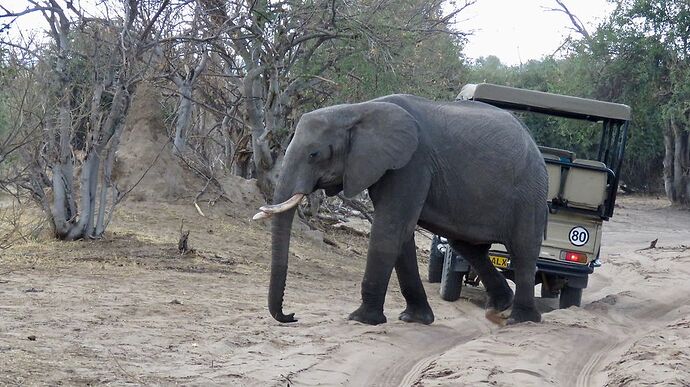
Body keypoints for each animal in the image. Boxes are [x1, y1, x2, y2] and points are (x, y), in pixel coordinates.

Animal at [254, 94, 548, 328]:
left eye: (314, 154)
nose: (292, 316)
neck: (357, 110)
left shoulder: (411, 163)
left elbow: (390, 227)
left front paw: (360, 319)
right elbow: (401, 234)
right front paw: (415, 319)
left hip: (529, 193)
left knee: (522, 250)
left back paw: (519, 319)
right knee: (468, 247)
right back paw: (499, 307)